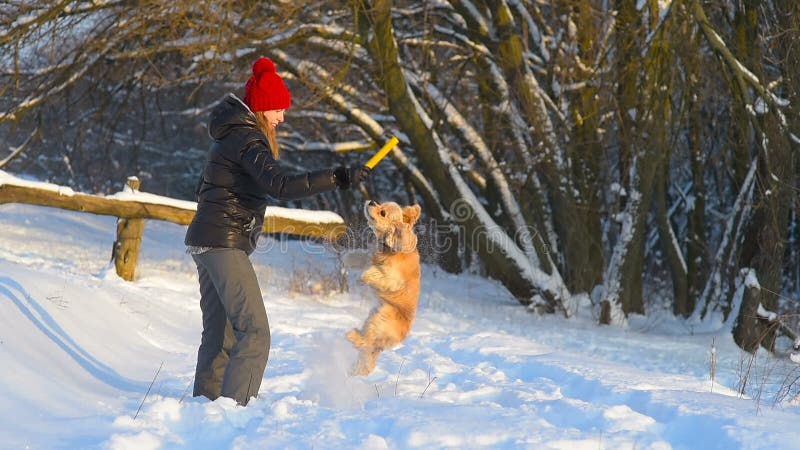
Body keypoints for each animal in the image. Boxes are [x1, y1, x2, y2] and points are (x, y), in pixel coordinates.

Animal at [348, 201, 424, 376]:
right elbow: (362, 257)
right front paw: (348, 259)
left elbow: (374, 272)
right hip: (373, 318)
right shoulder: (370, 256)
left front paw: (363, 277)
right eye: (380, 203)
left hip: (381, 318)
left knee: (366, 342)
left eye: (383, 212)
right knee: (367, 345)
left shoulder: (392, 279)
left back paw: (352, 336)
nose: (371, 202)